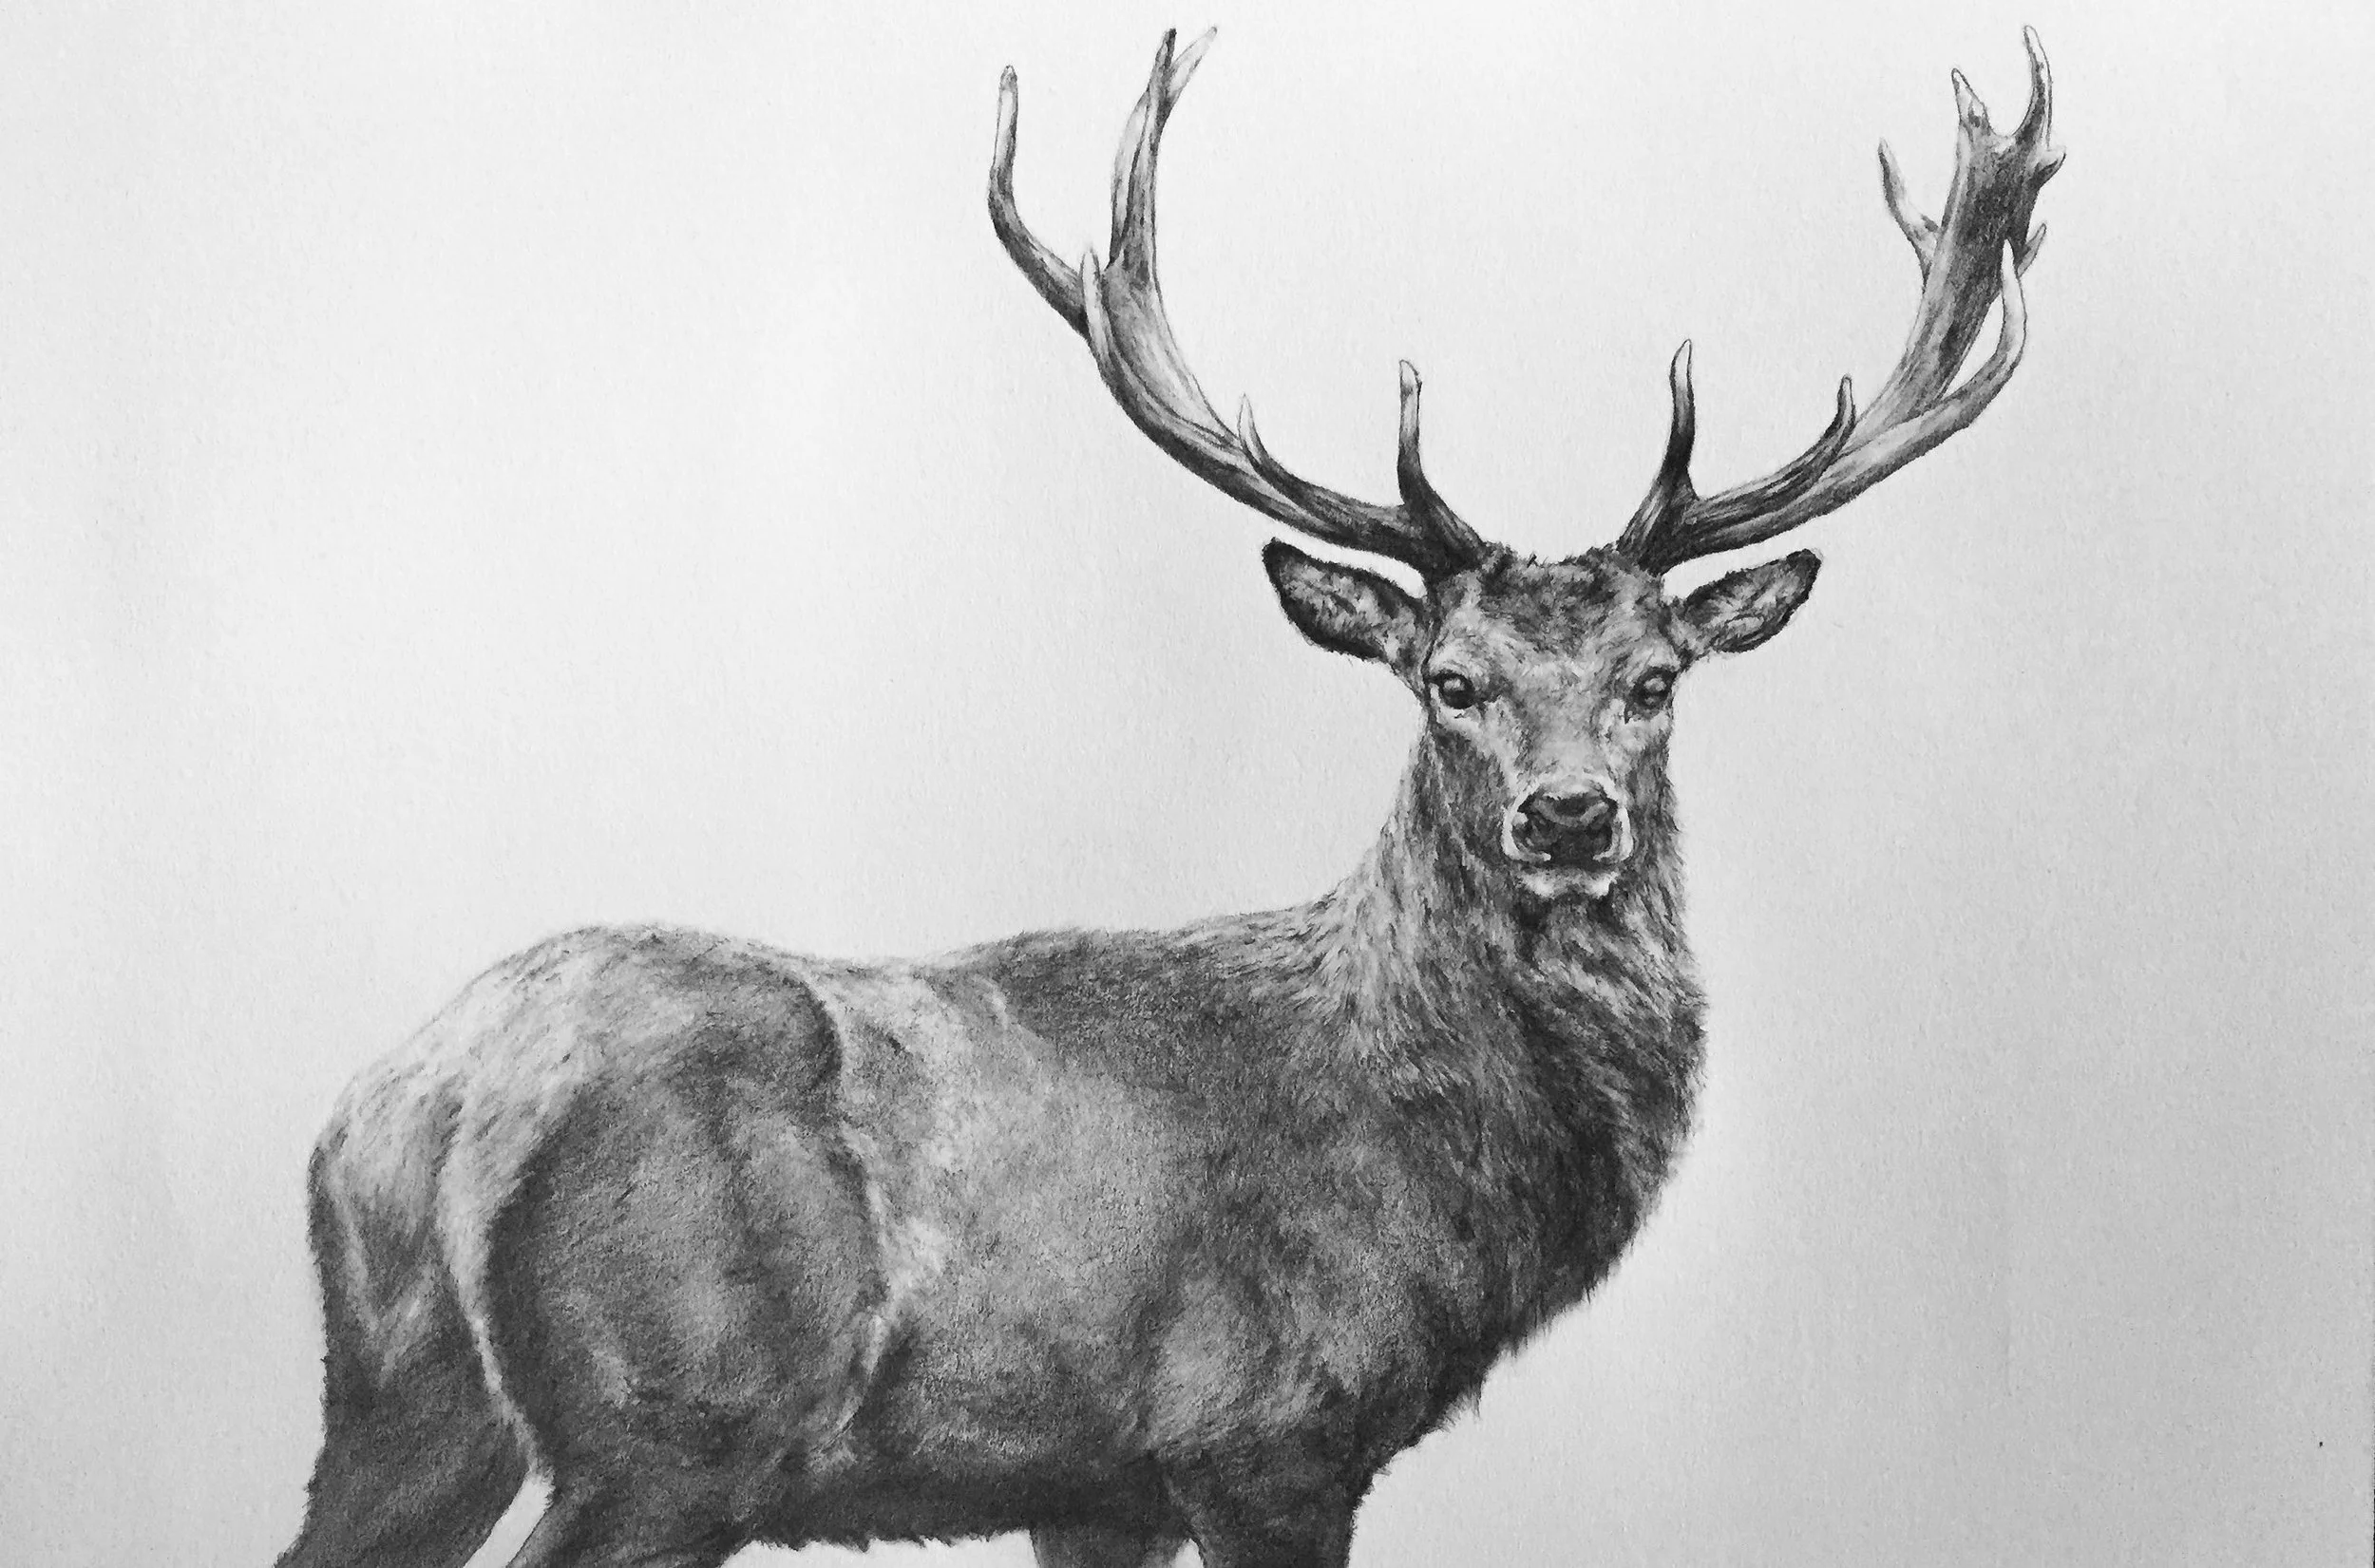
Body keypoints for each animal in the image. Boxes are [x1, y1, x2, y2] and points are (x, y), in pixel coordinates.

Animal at [275, 26, 2060, 1568]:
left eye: (1655, 677)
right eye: (1450, 678)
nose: (1567, 817)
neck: (1431, 1165)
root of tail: (426, 1102)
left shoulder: (1095, 1477)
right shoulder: (1268, 1429)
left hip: (401, 1403)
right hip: (671, 1423)